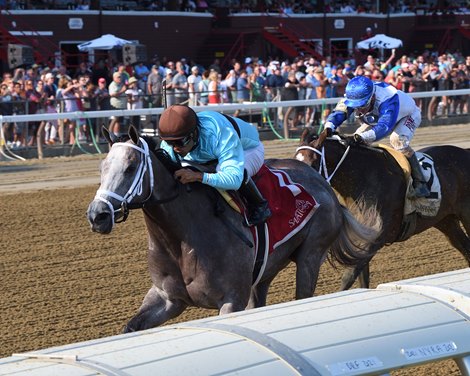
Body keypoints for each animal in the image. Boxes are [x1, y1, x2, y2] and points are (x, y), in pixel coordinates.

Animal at [87, 126, 382, 332]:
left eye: (130, 167)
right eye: (102, 167)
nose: (97, 215)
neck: (181, 237)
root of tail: (322, 182)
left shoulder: (231, 301)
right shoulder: (166, 298)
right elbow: (131, 327)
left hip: (311, 255)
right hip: (264, 272)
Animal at [296, 128, 470, 290]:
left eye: (313, 163)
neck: (364, 180)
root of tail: (465, 151)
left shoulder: (376, 239)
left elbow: (349, 276)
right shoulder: (361, 238)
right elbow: (362, 279)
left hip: (466, 215)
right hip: (446, 221)